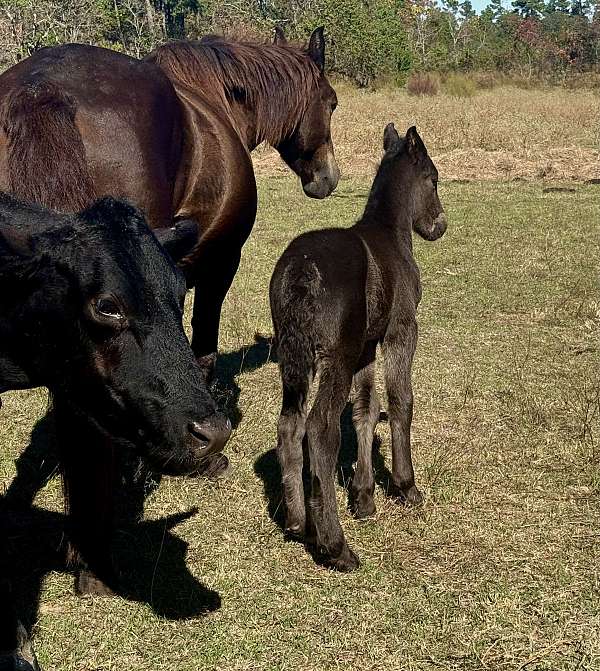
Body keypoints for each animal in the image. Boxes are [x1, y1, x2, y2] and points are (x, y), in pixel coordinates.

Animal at [269, 125, 447, 571]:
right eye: (433, 179)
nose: (439, 225)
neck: (390, 234)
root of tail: (301, 271)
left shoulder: (367, 345)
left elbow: (366, 408)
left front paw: (365, 498)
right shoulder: (401, 330)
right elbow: (401, 399)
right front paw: (405, 486)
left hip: (294, 358)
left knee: (290, 424)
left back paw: (299, 522)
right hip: (337, 358)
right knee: (320, 427)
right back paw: (336, 546)